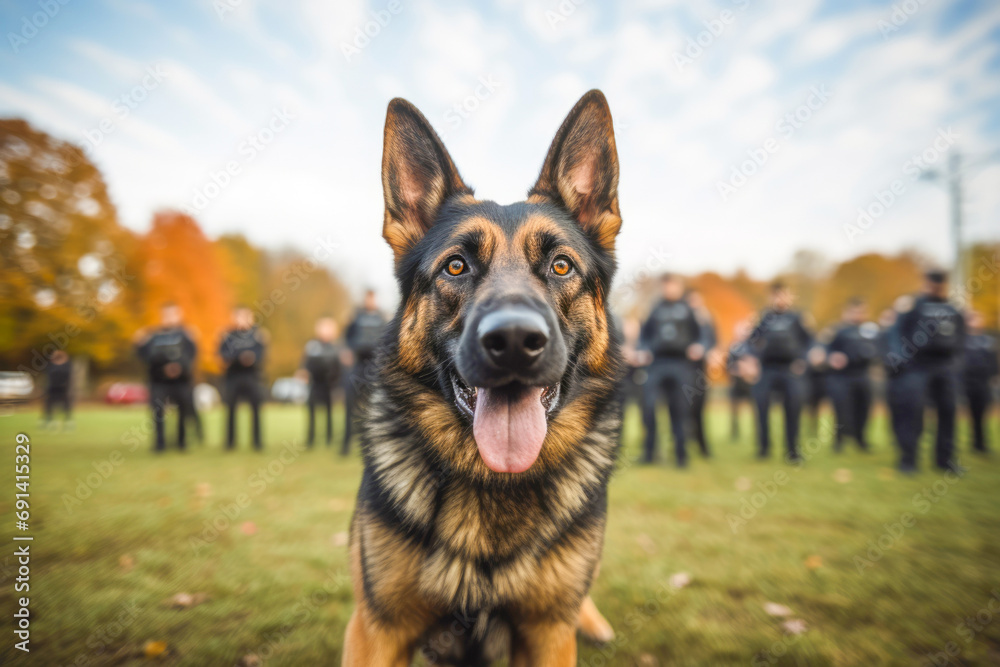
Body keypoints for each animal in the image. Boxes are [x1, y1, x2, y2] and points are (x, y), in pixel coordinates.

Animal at [346, 90, 624, 667]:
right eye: (456, 266)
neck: (493, 481)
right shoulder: (376, 631)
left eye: (561, 266)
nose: (515, 340)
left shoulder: (548, 634)